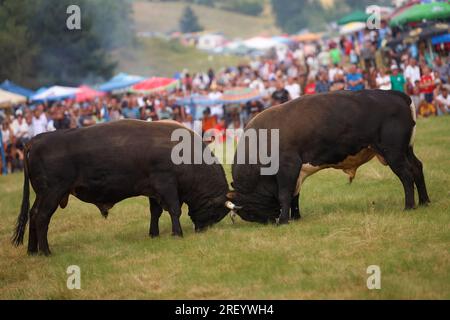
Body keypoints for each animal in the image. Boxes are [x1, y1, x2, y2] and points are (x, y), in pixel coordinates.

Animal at [12, 120, 230, 255]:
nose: (203, 230)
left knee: (33, 214)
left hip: (43, 195)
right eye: (217, 211)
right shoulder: (166, 184)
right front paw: (178, 234)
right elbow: (174, 210)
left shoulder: (154, 191)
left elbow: (155, 212)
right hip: (52, 193)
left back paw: (32, 251)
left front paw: (154, 234)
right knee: (42, 217)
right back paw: (46, 251)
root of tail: (36, 140)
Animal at [230, 90, 430, 224]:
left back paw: (409, 206)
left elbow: (285, 194)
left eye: (250, 212)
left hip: (393, 153)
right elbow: (294, 195)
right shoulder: (297, 172)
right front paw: (296, 218)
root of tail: (395, 94)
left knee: (406, 174)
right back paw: (424, 201)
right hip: (406, 150)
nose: (269, 222)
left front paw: (285, 220)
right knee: (417, 167)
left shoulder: (288, 167)